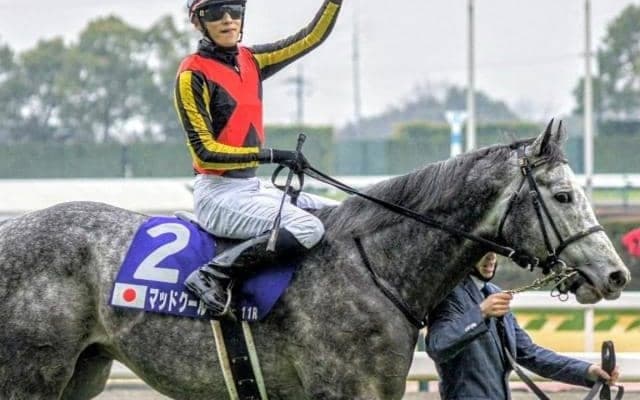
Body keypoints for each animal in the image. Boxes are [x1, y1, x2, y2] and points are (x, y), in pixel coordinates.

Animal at [0, 122, 629, 400]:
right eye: (564, 195)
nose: (616, 274)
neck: (376, 267)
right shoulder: (345, 391)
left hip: (83, 372)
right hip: (30, 375)